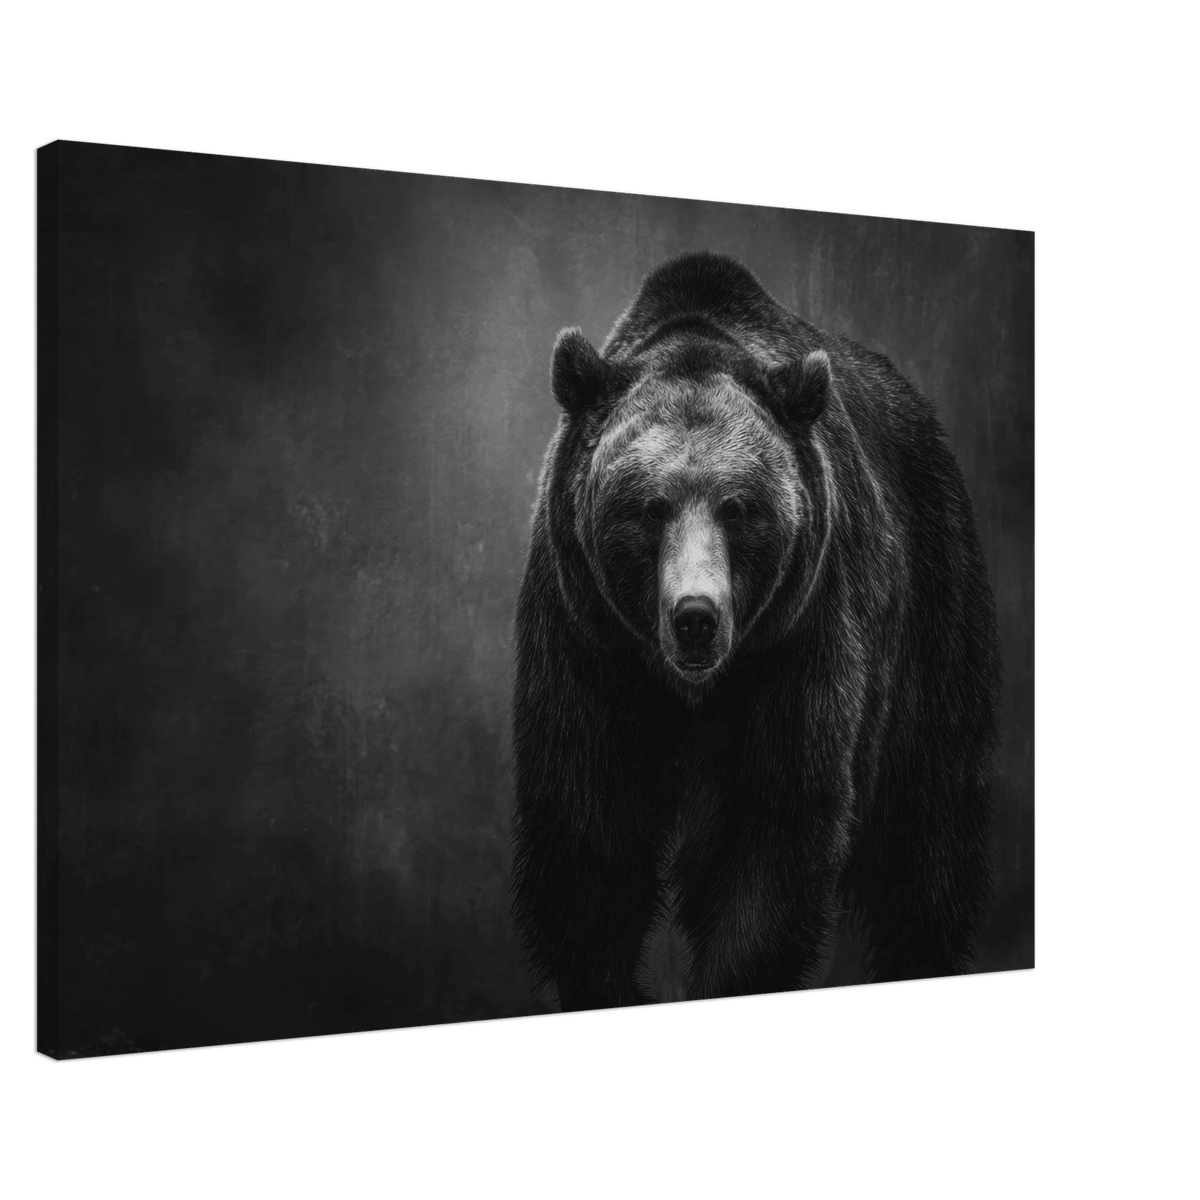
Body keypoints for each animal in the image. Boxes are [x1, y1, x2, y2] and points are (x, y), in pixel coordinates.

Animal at [511, 251, 1000, 1012]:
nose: (695, 618)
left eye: (738, 507)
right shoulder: (586, 640)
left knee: (928, 837)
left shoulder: (798, 638)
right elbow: (588, 826)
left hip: (934, 611)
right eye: (649, 507)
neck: (690, 688)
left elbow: (771, 829)